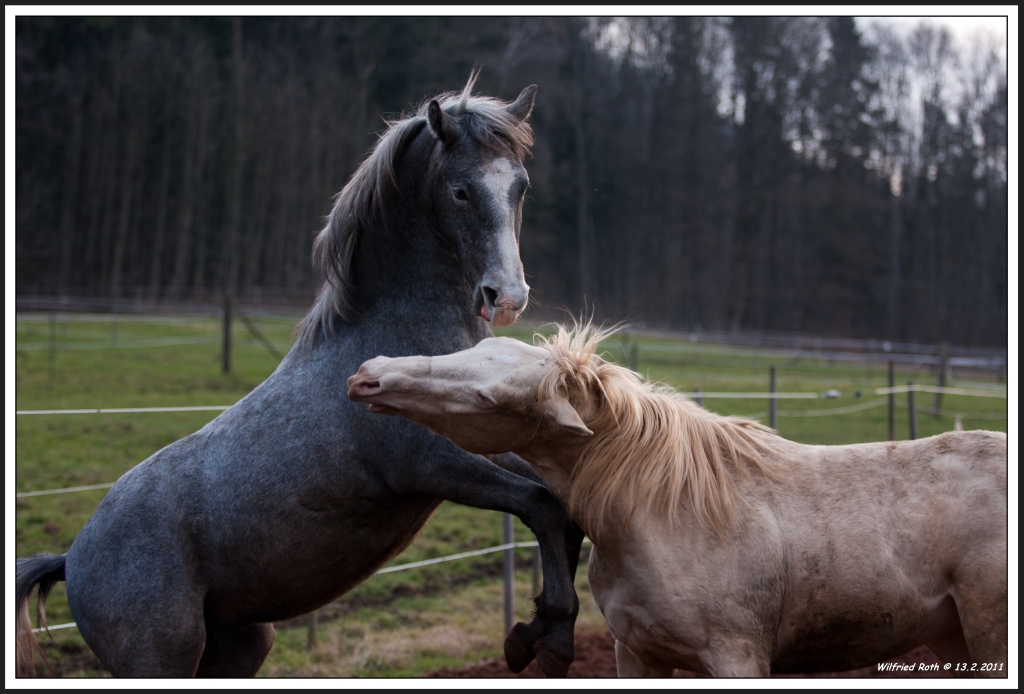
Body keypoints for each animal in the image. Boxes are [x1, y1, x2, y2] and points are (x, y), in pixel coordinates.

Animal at [14, 76, 585, 679]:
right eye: (460, 191)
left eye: (520, 186)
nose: (508, 297)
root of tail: (71, 558)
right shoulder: (434, 466)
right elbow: (542, 506)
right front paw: (547, 641)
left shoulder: (490, 446)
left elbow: (563, 505)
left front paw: (537, 629)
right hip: (162, 657)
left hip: (240, 644)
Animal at [350, 329, 1007, 679]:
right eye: (481, 343)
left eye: (489, 397)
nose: (368, 374)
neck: (666, 514)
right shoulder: (637, 653)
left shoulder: (739, 660)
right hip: (952, 639)